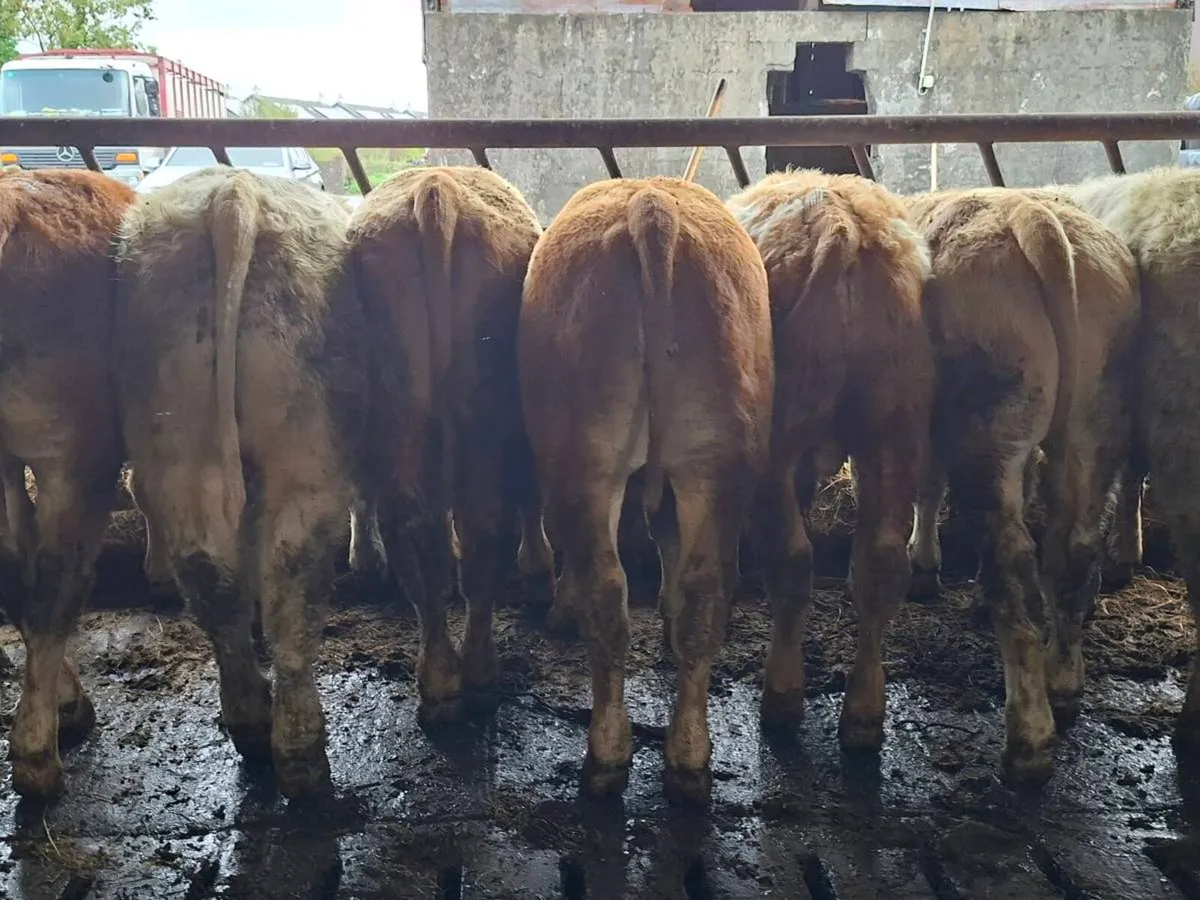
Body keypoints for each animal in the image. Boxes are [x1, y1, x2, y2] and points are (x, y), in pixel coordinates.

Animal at [114, 168, 367, 798]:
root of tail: (234, 194)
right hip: (304, 451)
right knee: (289, 582)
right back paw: (301, 756)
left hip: (176, 437)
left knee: (209, 570)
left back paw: (251, 725)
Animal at [347, 165, 543, 723]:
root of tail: (437, 190)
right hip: (485, 417)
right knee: (481, 531)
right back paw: (474, 674)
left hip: (398, 414)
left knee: (419, 537)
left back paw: (438, 679)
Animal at [519, 176, 774, 803]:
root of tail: (650, 205)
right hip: (717, 456)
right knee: (706, 590)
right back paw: (689, 757)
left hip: (585, 459)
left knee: (606, 591)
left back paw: (606, 755)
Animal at [725, 170, 934, 752]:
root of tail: (841, 227)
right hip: (892, 428)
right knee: (881, 565)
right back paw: (863, 715)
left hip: (778, 437)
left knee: (792, 561)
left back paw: (781, 696)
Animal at [903, 187, 1139, 783]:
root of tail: (1032, 215)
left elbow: (928, 487)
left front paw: (924, 566)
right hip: (1095, 415)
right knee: (1074, 551)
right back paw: (1065, 684)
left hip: (989, 421)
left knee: (1013, 557)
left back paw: (1028, 742)